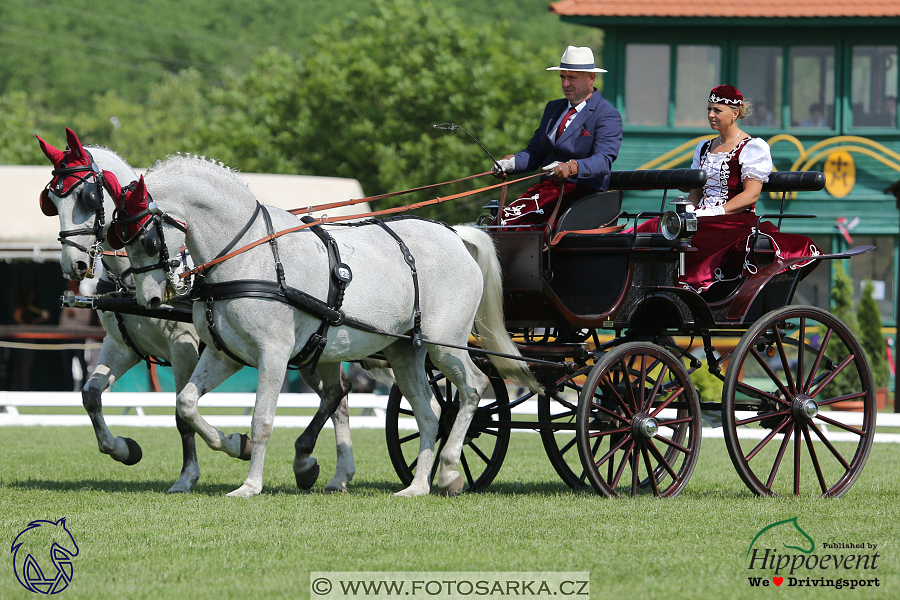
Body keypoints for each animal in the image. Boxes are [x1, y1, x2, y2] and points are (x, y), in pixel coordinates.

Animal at [36, 130, 358, 492]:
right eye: (51, 200)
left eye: (87, 196)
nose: (73, 265)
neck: (129, 280)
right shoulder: (122, 346)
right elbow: (90, 395)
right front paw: (123, 449)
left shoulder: (184, 348)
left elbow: (182, 415)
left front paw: (199, 468)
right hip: (311, 354)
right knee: (338, 395)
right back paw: (333, 472)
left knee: (337, 393)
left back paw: (315, 463)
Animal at [117, 155, 544, 496]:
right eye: (118, 238)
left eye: (147, 240)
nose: (147, 299)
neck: (249, 255)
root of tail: (455, 234)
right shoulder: (226, 355)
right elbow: (186, 405)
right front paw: (234, 444)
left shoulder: (273, 355)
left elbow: (262, 420)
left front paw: (250, 484)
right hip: (405, 351)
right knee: (430, 412)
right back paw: (418, 486)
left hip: (444, 344)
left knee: (473, 387)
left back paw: (450, 470)